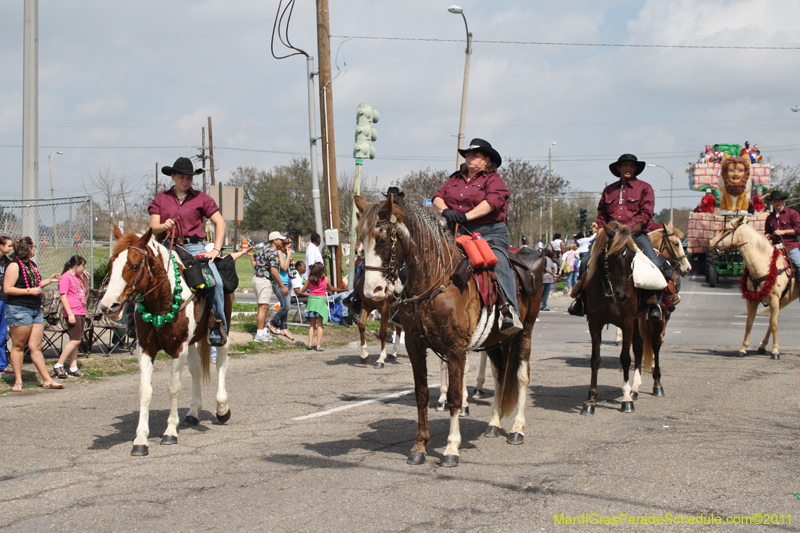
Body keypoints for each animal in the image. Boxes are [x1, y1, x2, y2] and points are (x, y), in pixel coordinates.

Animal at [98, 227, 233, 456]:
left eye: (135, 265)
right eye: (112, 263)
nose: (108, 305)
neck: (162, 301)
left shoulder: (178, 348)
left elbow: (174, 387)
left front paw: (170, 432)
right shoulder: (145, 349)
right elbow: (145, 391)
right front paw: (140, 440)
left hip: (221, 330)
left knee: (221, 364)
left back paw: (222, 409)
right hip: (191, 342)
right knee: (196, 369)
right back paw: (193, 412)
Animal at [356, 192, 544, 466]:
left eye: (381, 239)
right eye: (360, 241)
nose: (373, 291)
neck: (437, 280)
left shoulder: (456, 349)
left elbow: (455, 396)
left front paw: (451, 448)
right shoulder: (415, 346)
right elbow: (422, 393)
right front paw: (419, 446)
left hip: (524, 333)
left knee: (521, 376)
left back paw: (517, 429)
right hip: (494, 341)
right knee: (500, 375)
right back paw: (494, 423)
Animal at [708, 215, 796, 358]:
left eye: (725, 229)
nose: (709, 243)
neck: (764, 264)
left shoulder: (774, 299)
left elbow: (774, 325)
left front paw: (775, 352)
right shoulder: (752, 299)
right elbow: (749, 323)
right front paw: (743, 349)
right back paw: (762, 347)